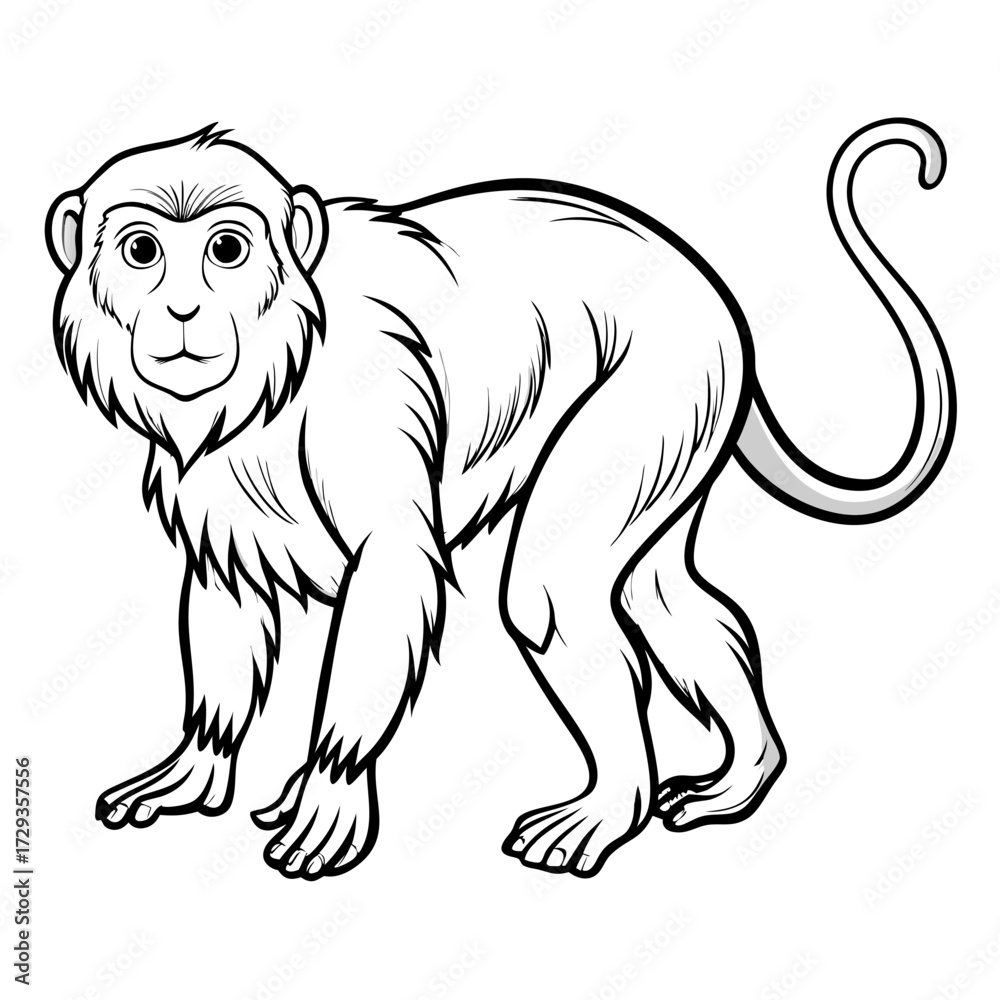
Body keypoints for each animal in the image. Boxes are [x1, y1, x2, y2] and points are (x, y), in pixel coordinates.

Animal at [46, 119, 954, 879]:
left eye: (227, 249)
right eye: (142, 251)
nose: (183, 309)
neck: (278, 365)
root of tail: (715, 295)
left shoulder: (367, 395)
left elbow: (391, 568)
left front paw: (334, 786)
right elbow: (228, 593)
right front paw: (198, 767)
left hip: (668, 381)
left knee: (552, 593)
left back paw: (609, 805)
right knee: (664, 595)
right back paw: (744, 777)